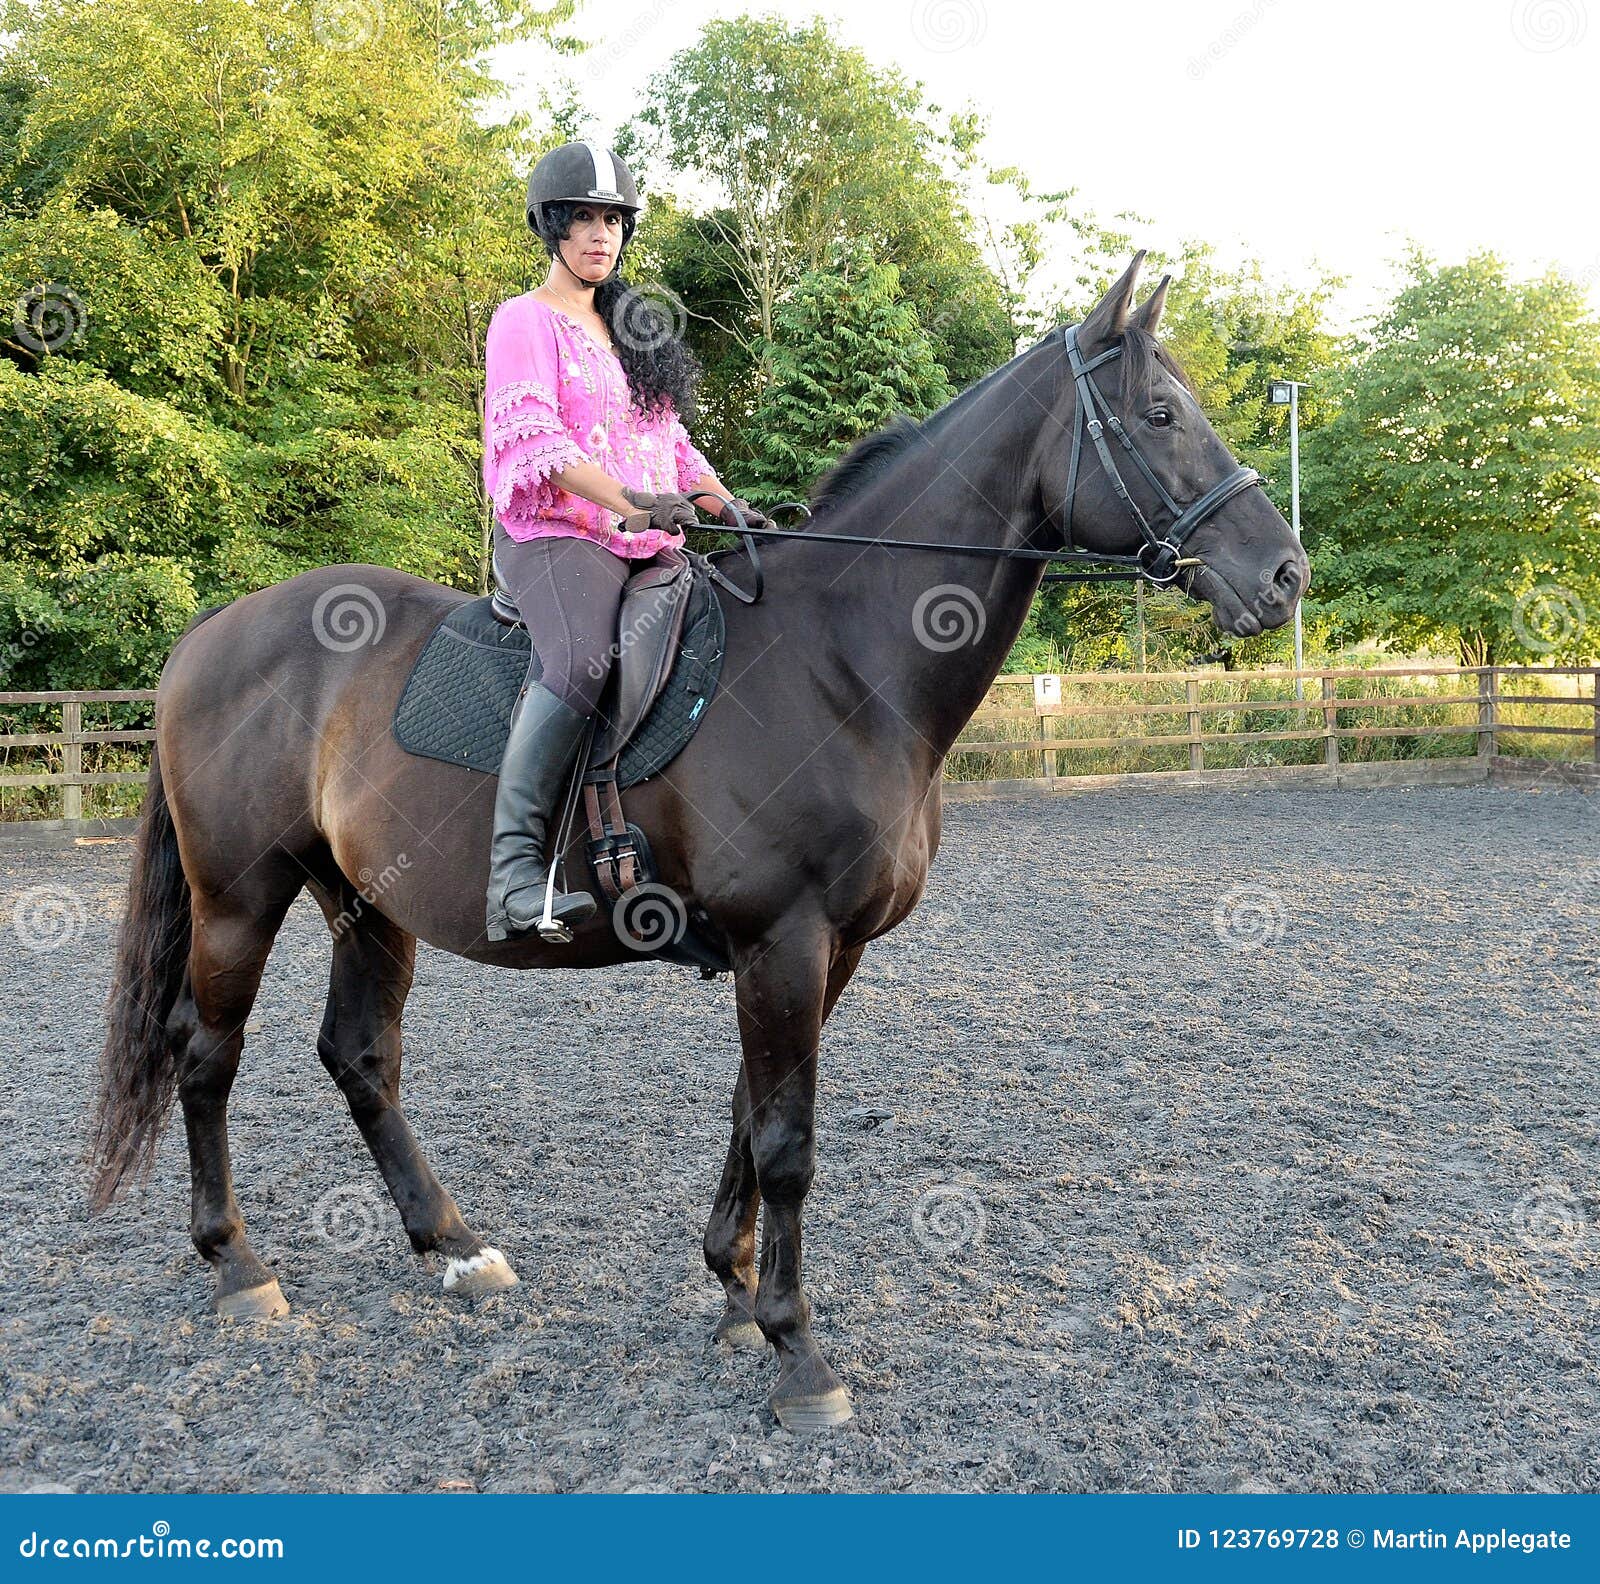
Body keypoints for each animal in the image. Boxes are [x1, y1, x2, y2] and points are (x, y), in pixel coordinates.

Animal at [88, 255, 1308, 1430]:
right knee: (206, 1055)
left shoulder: (825, 949)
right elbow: (789, 1143)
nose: (1284, 575)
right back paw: (239, 1265)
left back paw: (454, 1245)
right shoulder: (785, 936)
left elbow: (748, 1112)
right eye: (1159, 414)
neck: (842, 661)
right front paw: (798, 1355)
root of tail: (214, 632)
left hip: (365, 902)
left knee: (359, 1056)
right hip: (241, 895)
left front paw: (732, 1289)